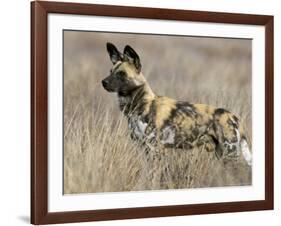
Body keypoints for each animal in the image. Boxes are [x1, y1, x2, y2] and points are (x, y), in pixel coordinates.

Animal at [101, 42, 252, 166]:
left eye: (121, 74)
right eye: (110, 72)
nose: (103, 82)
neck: (141, 104)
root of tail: (234, 117)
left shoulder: (155, 148)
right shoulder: (145, 148)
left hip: (230, 155)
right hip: (222, 155)